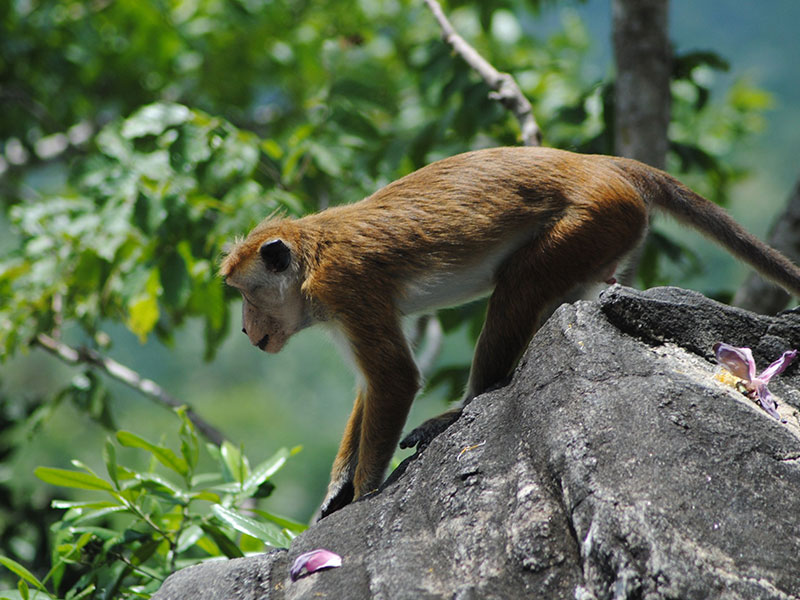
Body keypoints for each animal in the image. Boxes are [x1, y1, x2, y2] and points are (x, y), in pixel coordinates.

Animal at [220, 146, 800, 518]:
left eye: (246, 294)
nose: (247, 329)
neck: (312, 256)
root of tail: (600, 162)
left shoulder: (346, 284)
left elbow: (394, 378)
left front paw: (363, 498)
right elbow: (373, 386)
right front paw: (337, 491)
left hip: (592, 218)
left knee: (519, 284)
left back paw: (460, 410)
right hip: (603, 236)